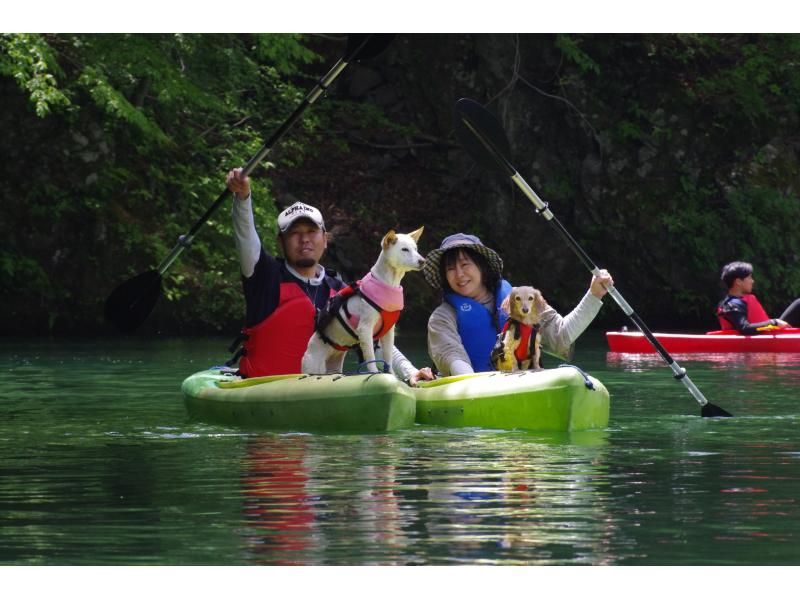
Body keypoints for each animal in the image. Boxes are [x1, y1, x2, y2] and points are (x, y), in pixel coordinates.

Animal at [300, 229, 424, 376]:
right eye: (404, 249)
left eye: (416, 249)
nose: (422, 261)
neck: (388, 283)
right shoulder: (365, 329)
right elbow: (370, 356)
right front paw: (375, 372)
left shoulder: (389, 332)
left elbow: (388, 357)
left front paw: (391, 374)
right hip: (314, 366)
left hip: (334, 366)